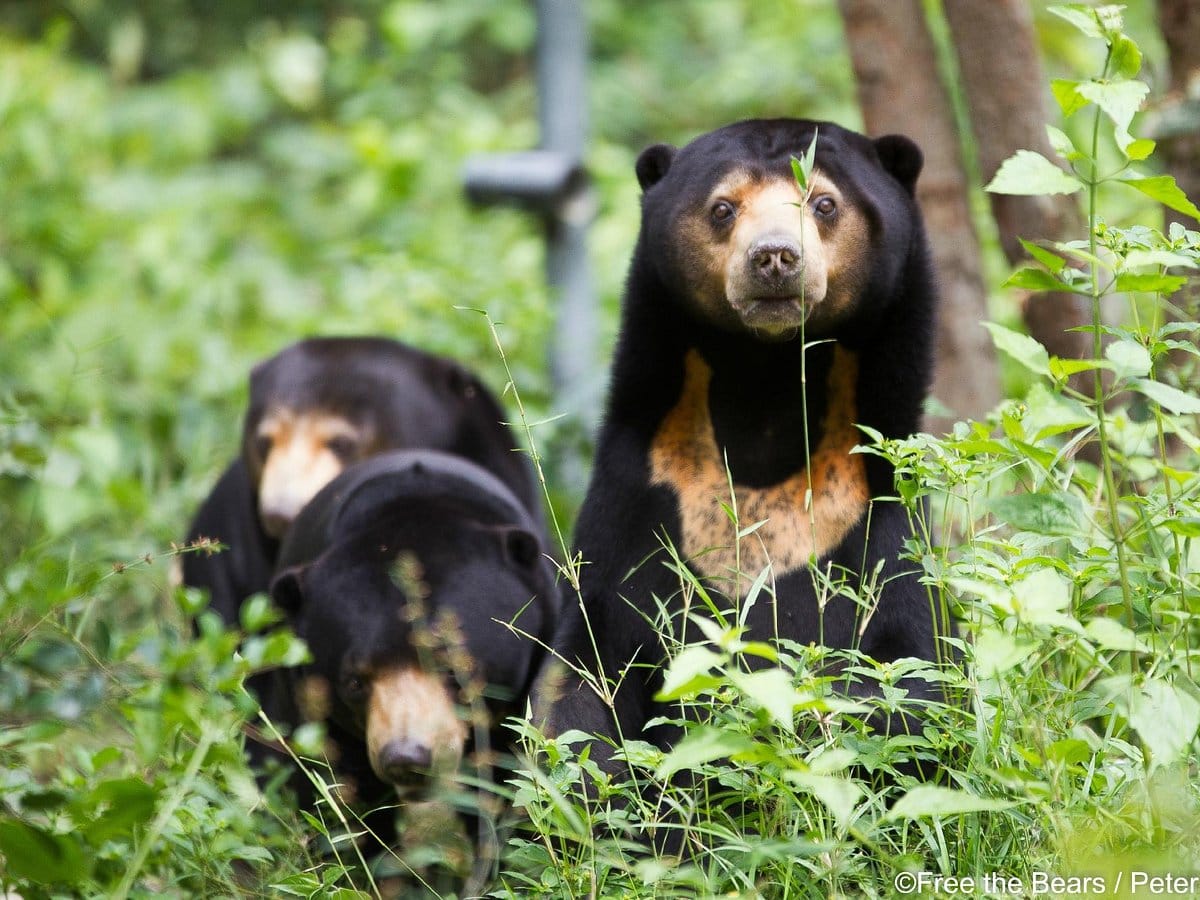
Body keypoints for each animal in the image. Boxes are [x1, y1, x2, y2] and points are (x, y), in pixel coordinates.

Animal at [539, 119, 949, 785]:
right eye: (723, 208)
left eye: (824, 203)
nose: (775, 257)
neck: (766, 386)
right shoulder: (639, 497)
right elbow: (588, 676)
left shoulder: (875, 516)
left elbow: (907, 678)